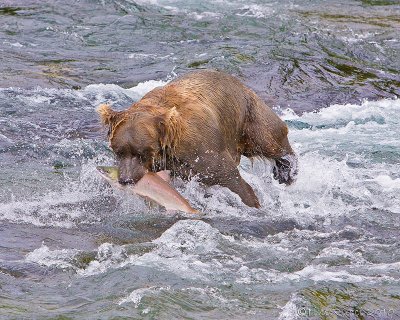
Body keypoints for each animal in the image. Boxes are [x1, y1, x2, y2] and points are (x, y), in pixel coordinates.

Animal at [97, 70, 296, 209]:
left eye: (141, 153)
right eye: (118, 151)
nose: (126, 179)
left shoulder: (203, 150)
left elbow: (232, 181)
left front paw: (253, 203)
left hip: (248, 115)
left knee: (270, 140)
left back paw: (286, 172)